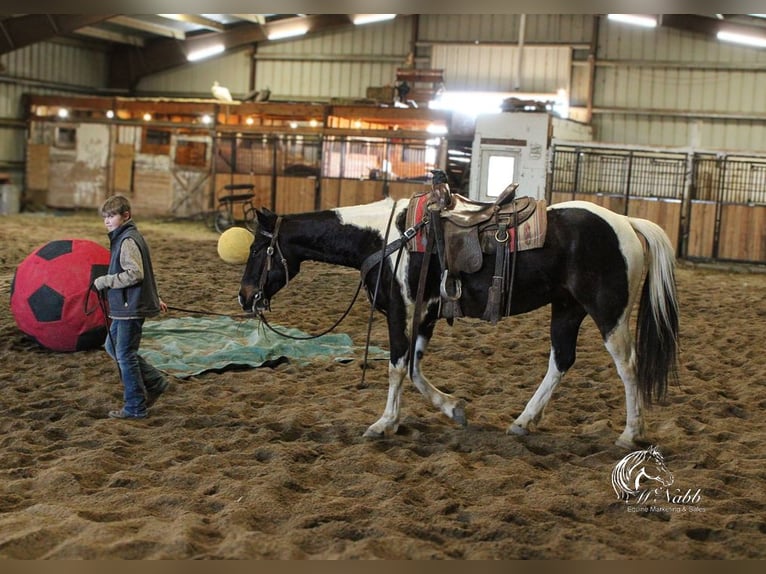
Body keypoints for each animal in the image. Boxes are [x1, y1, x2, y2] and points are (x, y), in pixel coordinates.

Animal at [237, 180, 680, 450]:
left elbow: (397, 367)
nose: (244, 297)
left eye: (257, 249)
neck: (386, 238)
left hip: (609, 312)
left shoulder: (402, 310)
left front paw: (384, 423)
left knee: (627, 366)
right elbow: (414, 369)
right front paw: (453, 409)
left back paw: (630, 433)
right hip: (567, 309)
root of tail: (626, 222)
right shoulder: (425, 314)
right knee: (561, 360)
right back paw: (523, 421)